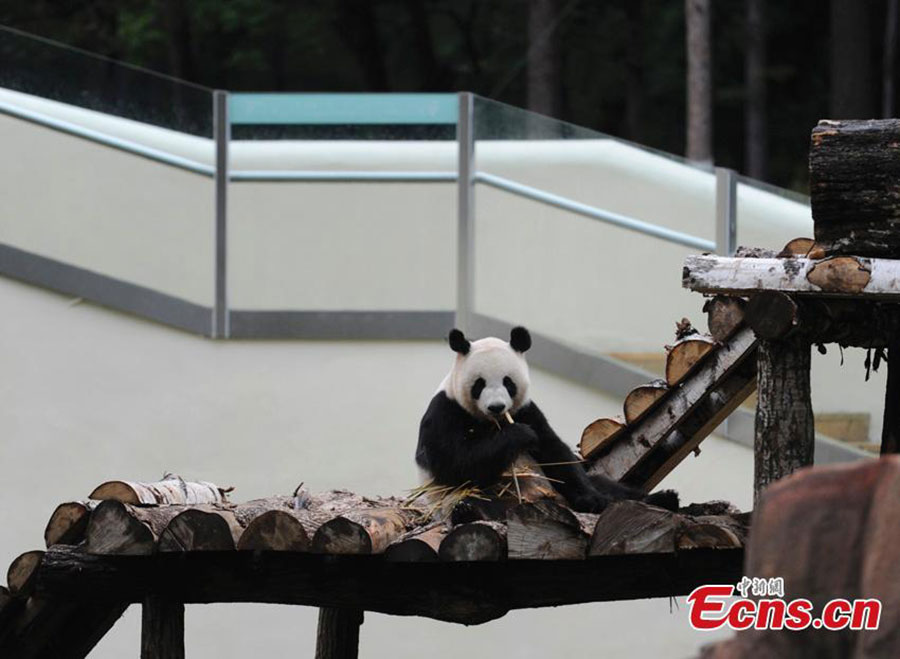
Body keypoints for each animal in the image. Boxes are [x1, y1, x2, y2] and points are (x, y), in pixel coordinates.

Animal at [418, 328, 680, 512]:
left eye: (508, 382)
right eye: (479, 384)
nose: (496, 406)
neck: (493, 422)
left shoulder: (526, 409)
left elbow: (556, 454)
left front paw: (592, 500)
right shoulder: (445, 413)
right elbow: (456, 463)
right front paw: (520, 435)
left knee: (607, 485)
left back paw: (663, 498)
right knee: (478, 499)